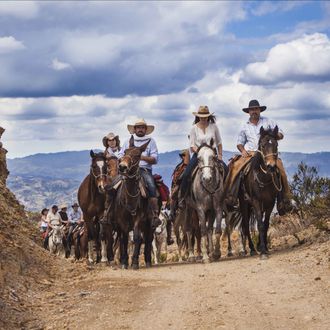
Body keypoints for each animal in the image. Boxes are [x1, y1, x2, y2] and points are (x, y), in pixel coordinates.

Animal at [113, 135, 153, 270]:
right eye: (125, 152)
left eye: (137, 155)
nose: (122, 166)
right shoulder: (121, 221)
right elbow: (124, 239)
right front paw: (125, 262)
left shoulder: (139, 218)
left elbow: (136, 238)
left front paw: (135, 262)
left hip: (148, 223)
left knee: (147, 239)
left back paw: (148, 260)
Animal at [233, 125, 282, 260]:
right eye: (263, 145)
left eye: (276, 144)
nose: (271, 166)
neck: (263, 178)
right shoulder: (256, 201)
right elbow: (259, 224)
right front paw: (263, 251)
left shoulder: (270, 202)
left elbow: (265, 225)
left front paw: (263, 247)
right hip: (245, 205)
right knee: (245, 225)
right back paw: (252, 249)